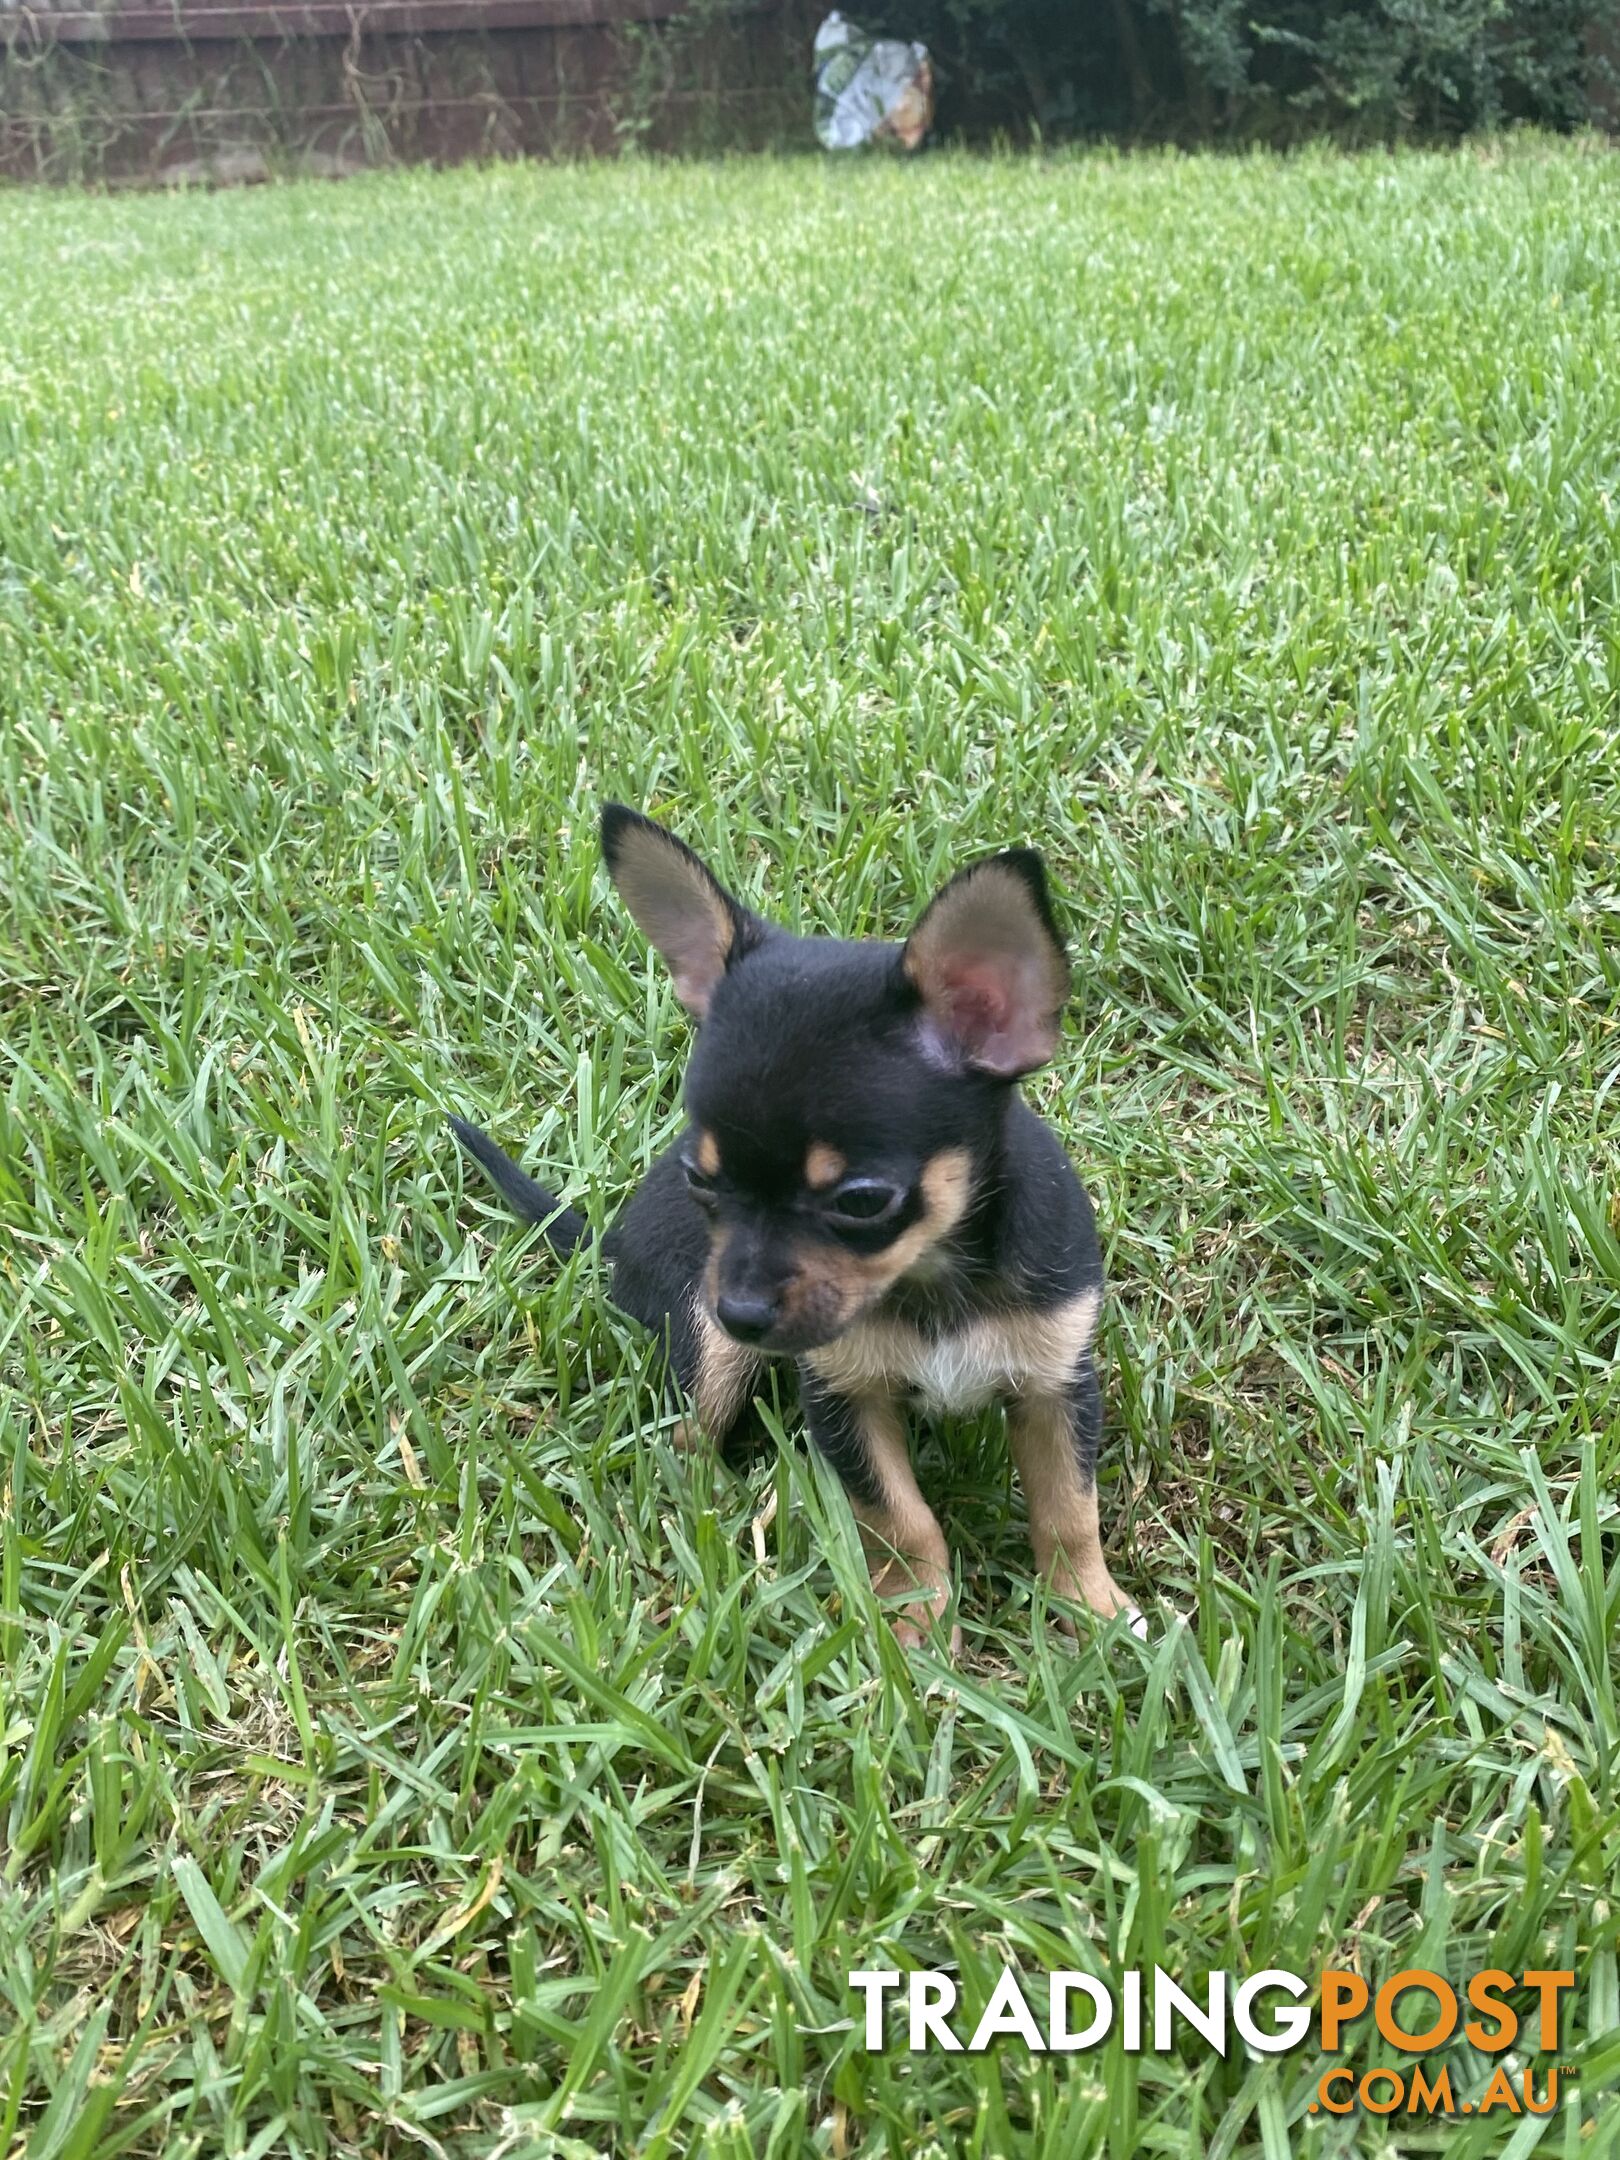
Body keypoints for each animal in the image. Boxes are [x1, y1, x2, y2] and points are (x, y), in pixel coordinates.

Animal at [453, 803, 1140, 1641]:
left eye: (861, 1200)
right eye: (700, 1180)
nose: (742, 1311)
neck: (930, 1276)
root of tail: (611, 1237)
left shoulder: (1055, 1387)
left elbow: (1069, 1509)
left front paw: (1091, 1610)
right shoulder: (844, 1399)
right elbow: (900, 1518)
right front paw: (915, 1618)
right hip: (711, 1354)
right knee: (687, 1440)